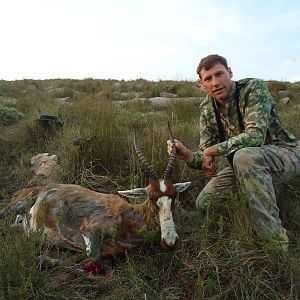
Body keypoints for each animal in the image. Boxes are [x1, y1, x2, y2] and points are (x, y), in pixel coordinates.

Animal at [5, 125, 191, 276]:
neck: (127, 216)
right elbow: (93, 264)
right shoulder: (89, 232)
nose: (170, 242)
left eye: (174, 196)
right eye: (151, 198)